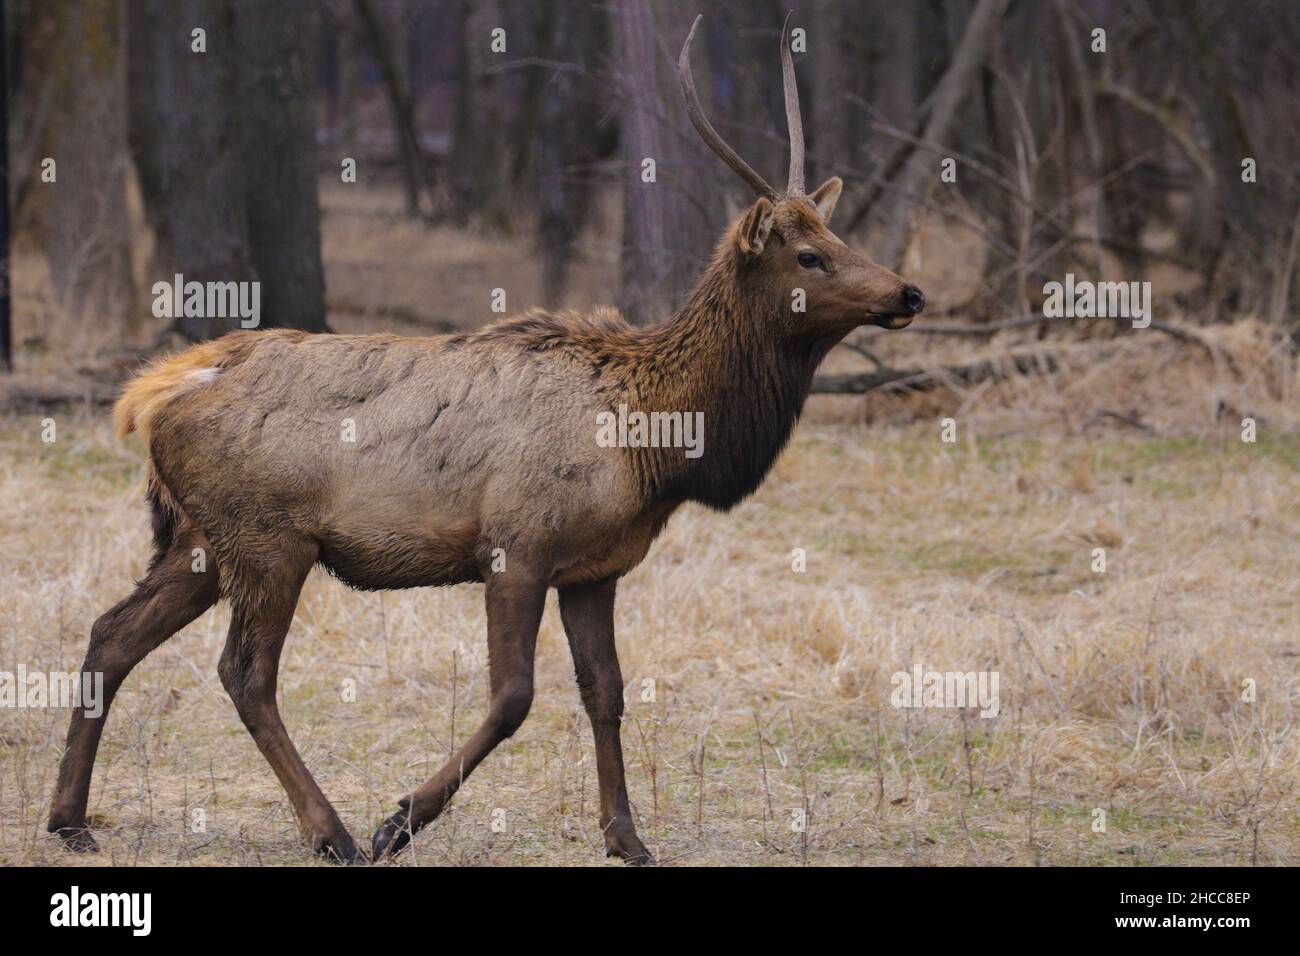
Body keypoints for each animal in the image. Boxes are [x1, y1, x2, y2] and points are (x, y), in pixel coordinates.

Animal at [45, 16, 920, 868]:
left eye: (840, 239)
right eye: (809, 254)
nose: (908, 291)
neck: (654, 443)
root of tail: (154, 393)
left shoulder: (595, 568)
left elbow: (606, 692)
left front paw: (628, 838)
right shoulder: (516, 544)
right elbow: (513, 697)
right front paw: (399, 820)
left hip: (197, 539)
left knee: (111, 635)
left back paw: (70, 821)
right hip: (268, 540)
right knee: (245, 674)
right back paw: (334, 834)